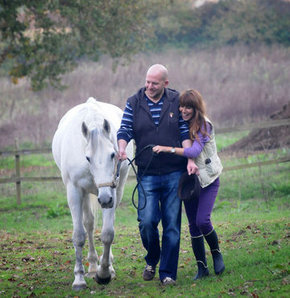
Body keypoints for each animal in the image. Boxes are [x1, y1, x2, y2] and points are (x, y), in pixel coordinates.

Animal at [52, 98, 134, 292]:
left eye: (113, 155)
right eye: (88, 158)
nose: (104, 199)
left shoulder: (112, 190)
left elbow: (107, 234)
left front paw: (104, 274)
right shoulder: (74, 191)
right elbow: (79, 236)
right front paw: (79, 279)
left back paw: (106, 265)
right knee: (88, 224)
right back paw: (91, 266)